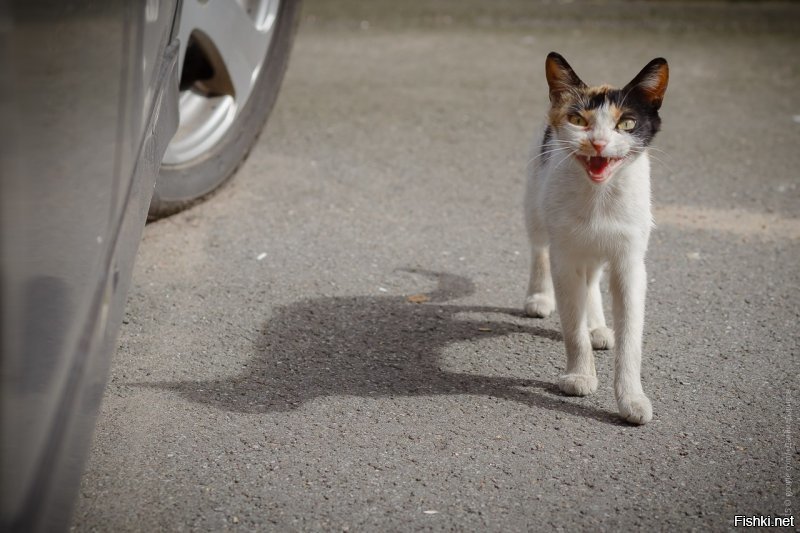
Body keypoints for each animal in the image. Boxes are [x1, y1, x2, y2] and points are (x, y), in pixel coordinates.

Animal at [524, 51, 668, 424]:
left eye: (627, 124)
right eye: (577, 119)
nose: (598, 142)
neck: (598, 198)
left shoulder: (630, 262)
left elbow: (631, 337)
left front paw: (632, 398)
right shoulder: (564, 258)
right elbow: (571, 327)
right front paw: (579, 376)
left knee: (591, 278)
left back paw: (599, 328)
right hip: (535, 203)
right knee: (539, 248)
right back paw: (538, 297)